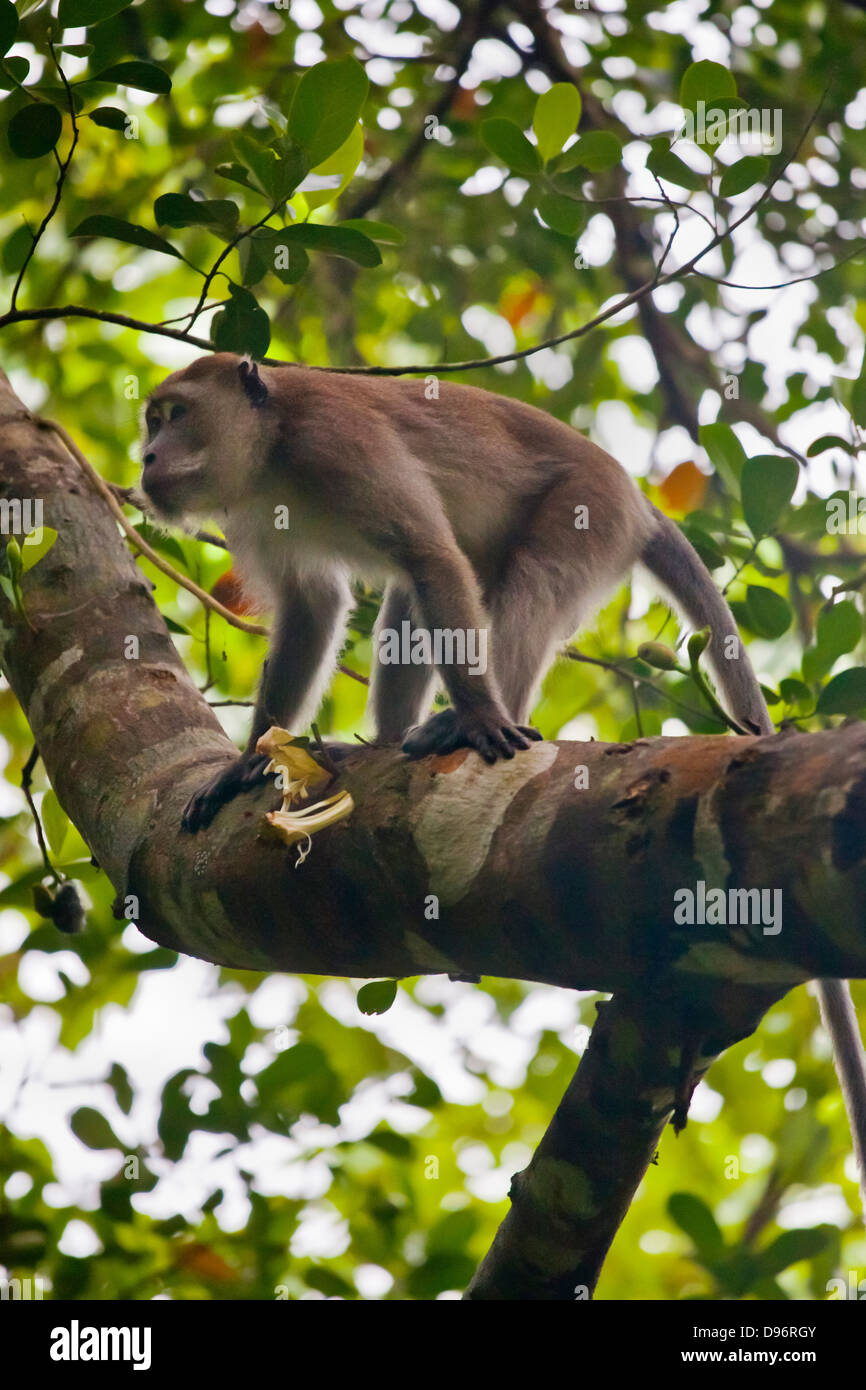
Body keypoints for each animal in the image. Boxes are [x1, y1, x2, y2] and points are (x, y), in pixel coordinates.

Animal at [140, 350, 866, 1206]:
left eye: (175, 415)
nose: (145, 458)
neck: (274, 450)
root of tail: (635, 496)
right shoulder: (255, 513)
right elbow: (315, 604)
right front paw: (247, 763)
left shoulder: (338, 446)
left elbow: (428, 553)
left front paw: (481, 713)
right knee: (416, 595)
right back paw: (388, 742)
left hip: (589, 513)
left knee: (521, 577)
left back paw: (477, 719)